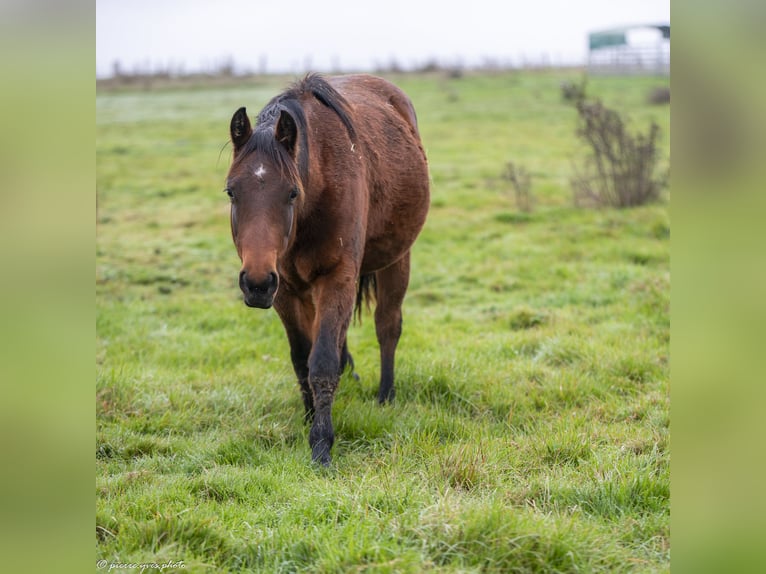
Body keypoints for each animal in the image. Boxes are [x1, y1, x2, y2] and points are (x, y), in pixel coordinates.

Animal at [225, 73, 436, 468]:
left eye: (292, 193)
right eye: (231, 191)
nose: (256, 283)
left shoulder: (337, 277)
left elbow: (321, 363)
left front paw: (321, 444)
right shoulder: (286, 290)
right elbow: (301, 359)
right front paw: (310, 418)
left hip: (397, 260)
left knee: (387, 327)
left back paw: (386, 395)